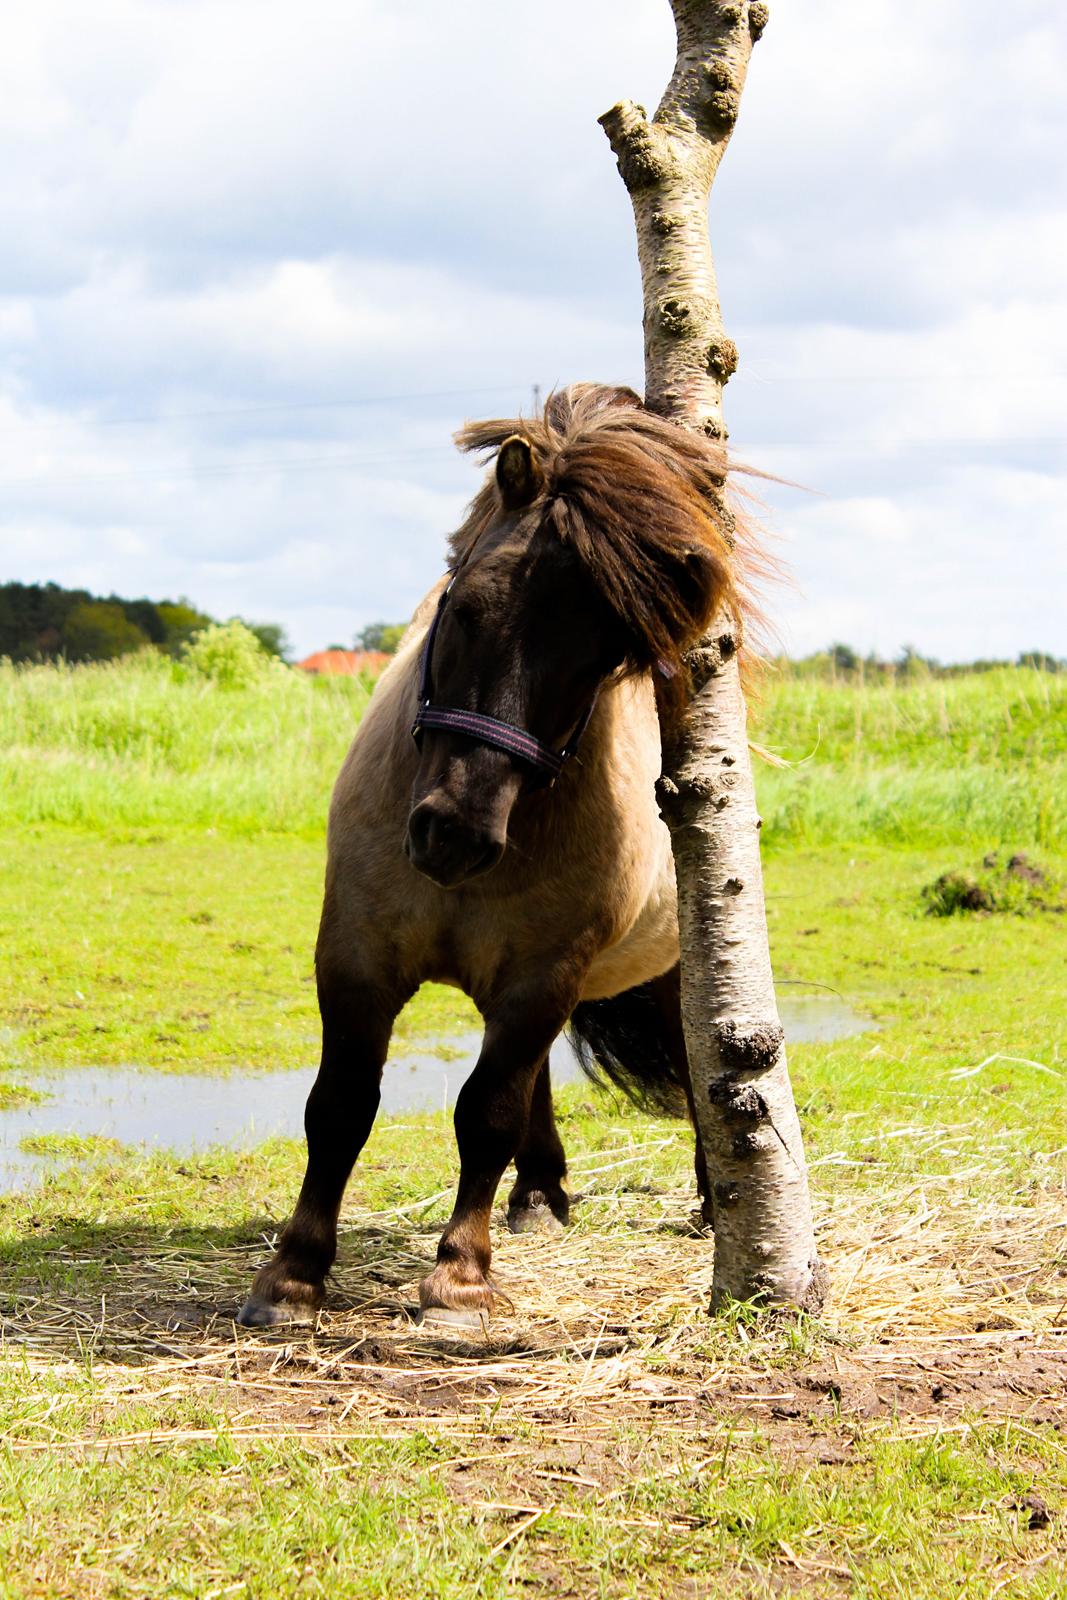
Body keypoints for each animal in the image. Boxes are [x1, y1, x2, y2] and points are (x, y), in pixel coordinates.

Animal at [239, 384, 758, 1324]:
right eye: (465, 607)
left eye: (602, 657)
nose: (454, 833)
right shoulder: (356, 958)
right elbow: (339, 1108)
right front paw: (293, 1274)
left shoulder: (540, 976)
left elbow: (485, 1112)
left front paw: (458, 1278)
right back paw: (538, 1194)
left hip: (669, 967)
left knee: (694, 1062)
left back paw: (706, 1196)